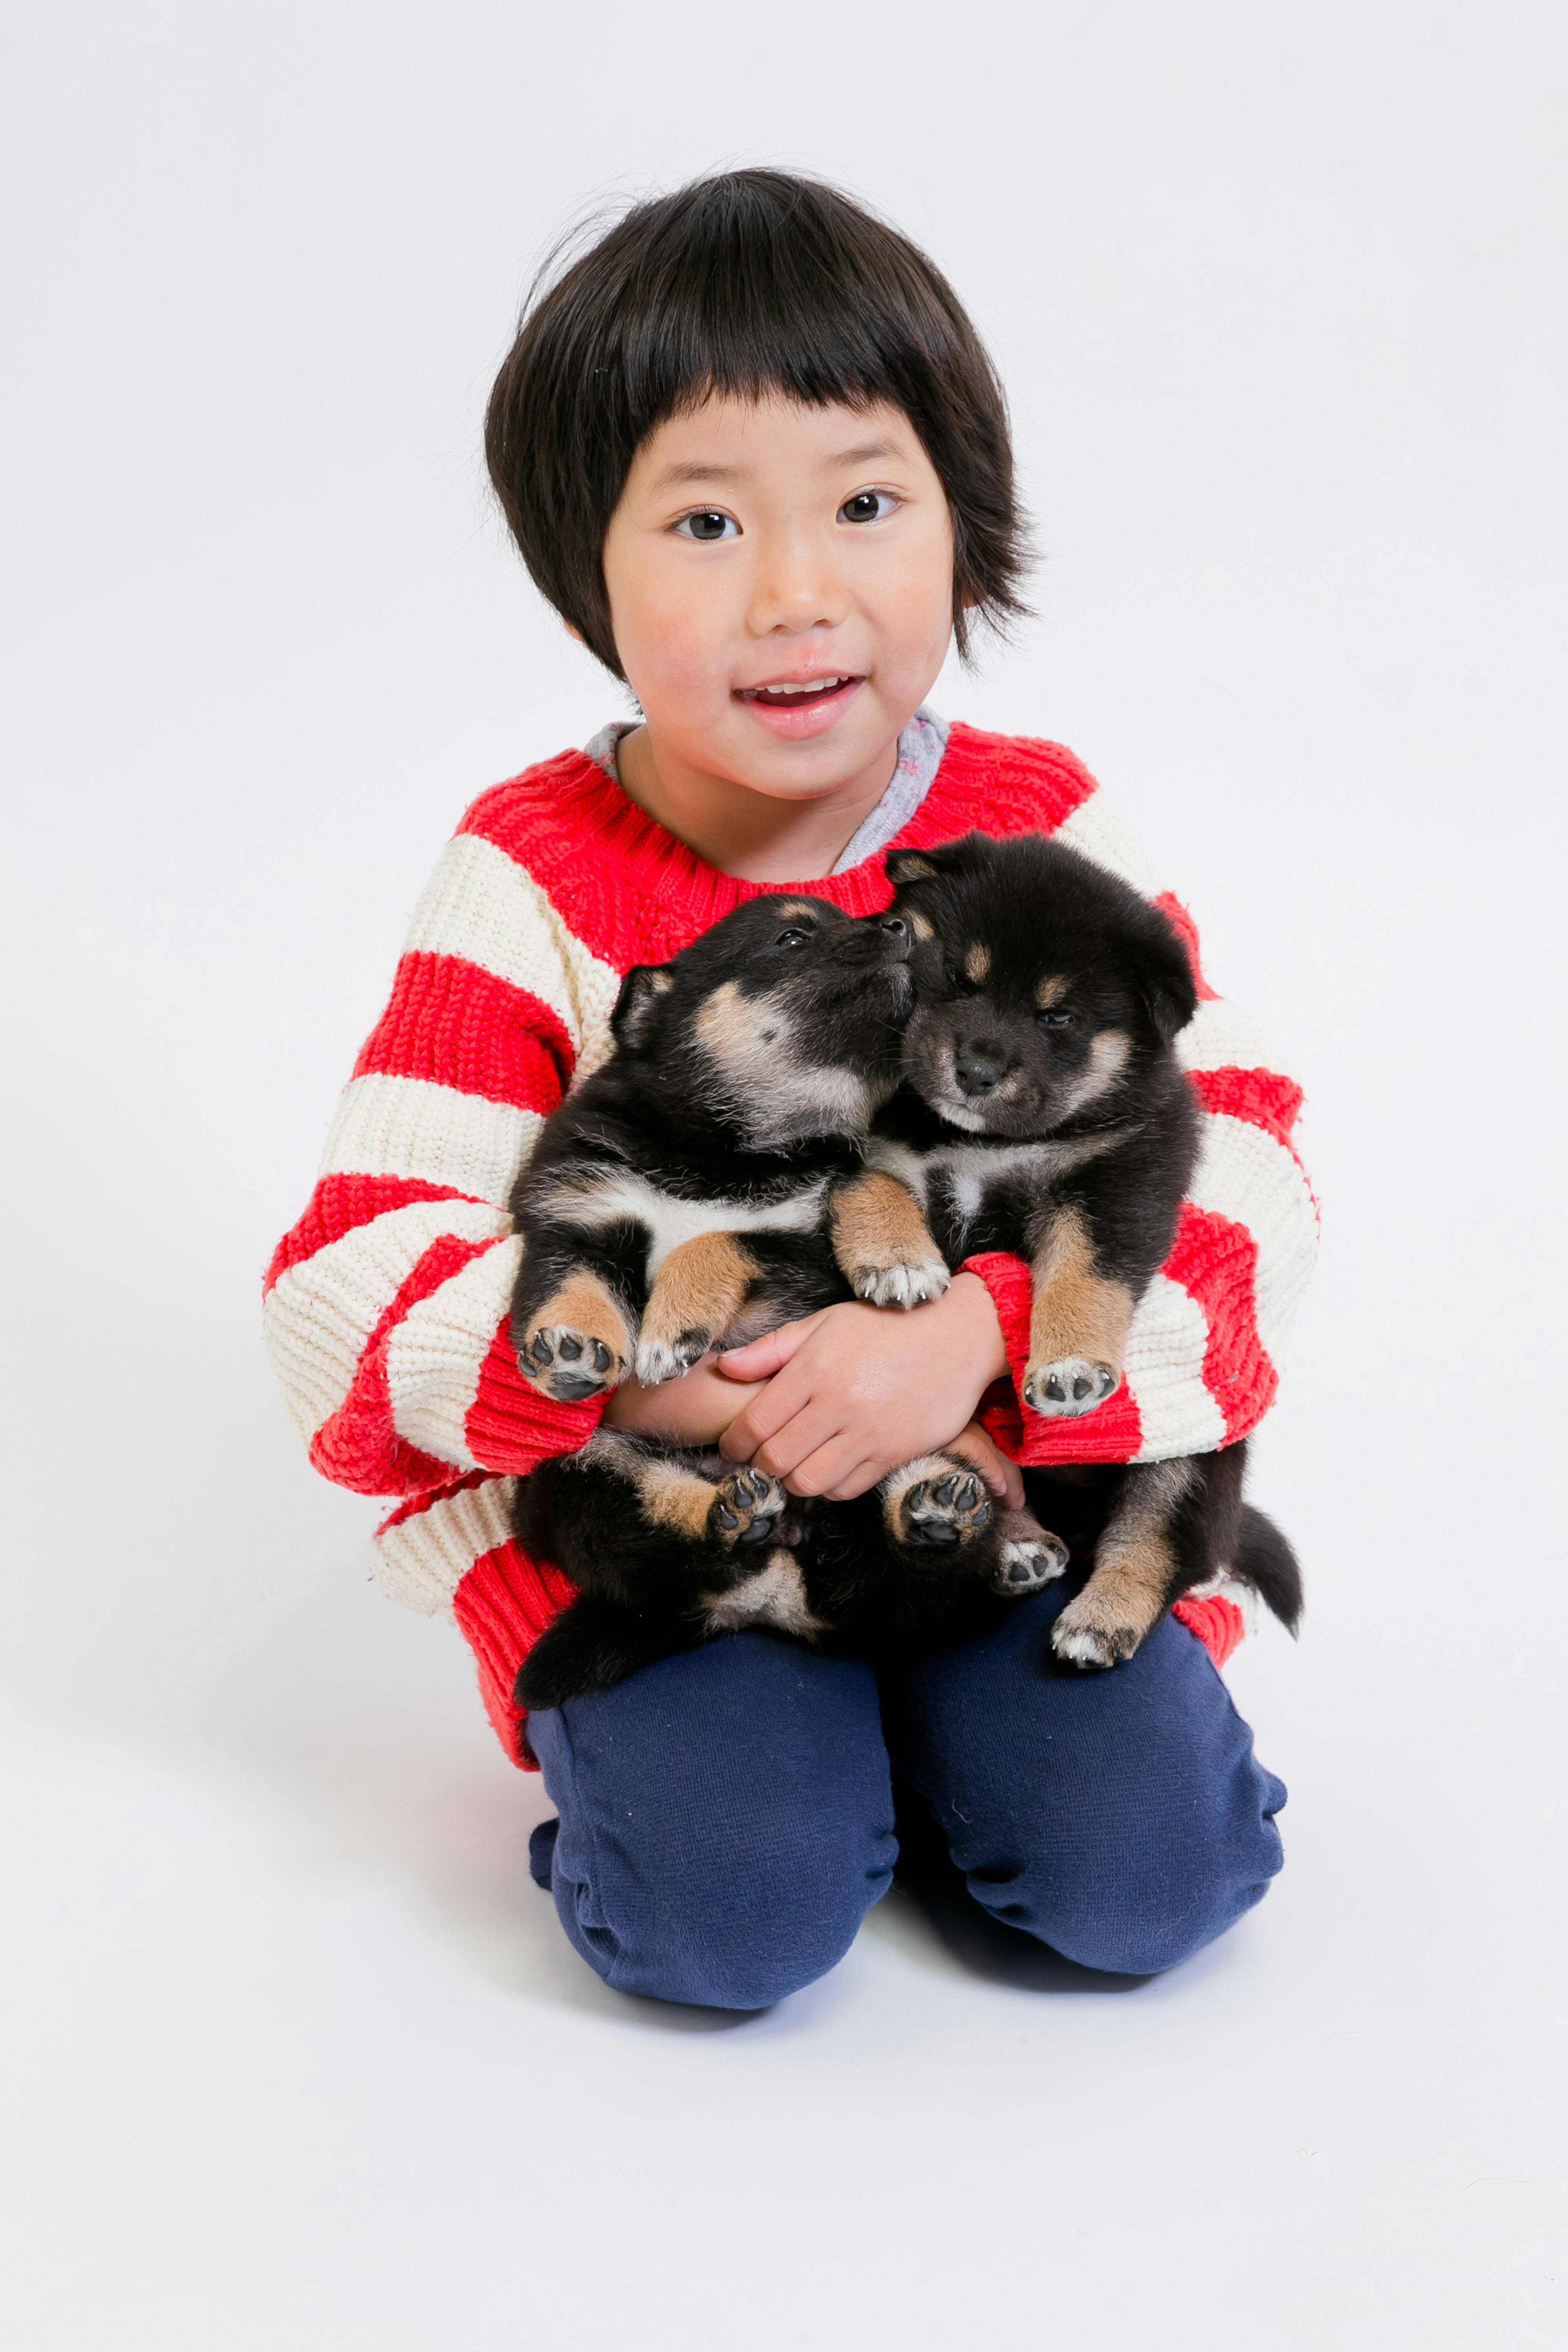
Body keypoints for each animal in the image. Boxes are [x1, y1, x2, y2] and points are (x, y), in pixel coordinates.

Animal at [512, 893, 1067, 1712]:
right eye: (792, 937)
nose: (902, 926)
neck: (721, 1152)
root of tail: (778, 1591)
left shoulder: (801, 1243)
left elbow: (718, 1240)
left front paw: (673, 1322)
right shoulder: (576, 1210)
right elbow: (571, 1282)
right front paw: (573, 1347)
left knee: (918, 1558)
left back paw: (949, 1515)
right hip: (580, 1476)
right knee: (666, 1529)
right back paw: (736, 1512)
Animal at [879, 837, 1307, 1665]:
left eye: (1059, 1017)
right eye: (959, 978)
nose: (976, 1072)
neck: (986, 1145)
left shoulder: (1117, 1183)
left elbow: (1086, 1275)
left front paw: (1070, 1369)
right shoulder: (879, 1158)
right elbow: (876, 1197)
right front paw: (893, 1263)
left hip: (1192, 1460)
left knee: (1157, 1545)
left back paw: (1099, 1619)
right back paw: (1003, 1537)